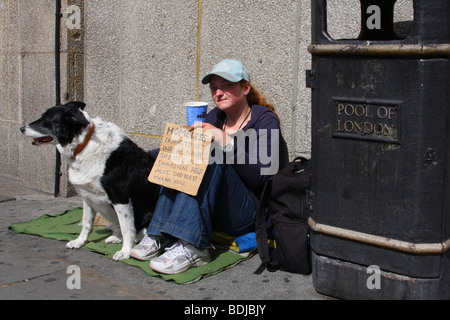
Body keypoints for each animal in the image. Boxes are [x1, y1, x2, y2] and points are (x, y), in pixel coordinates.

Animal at [20, 102, 160, 260]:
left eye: (45, 120)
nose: (21, 128)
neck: (83, 145)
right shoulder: (87, 195)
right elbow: (87, 223)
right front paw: (80, 241)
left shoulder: (120, 197)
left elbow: (127, 229)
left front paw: (125, 252)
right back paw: (115, 236)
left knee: (138, 232)